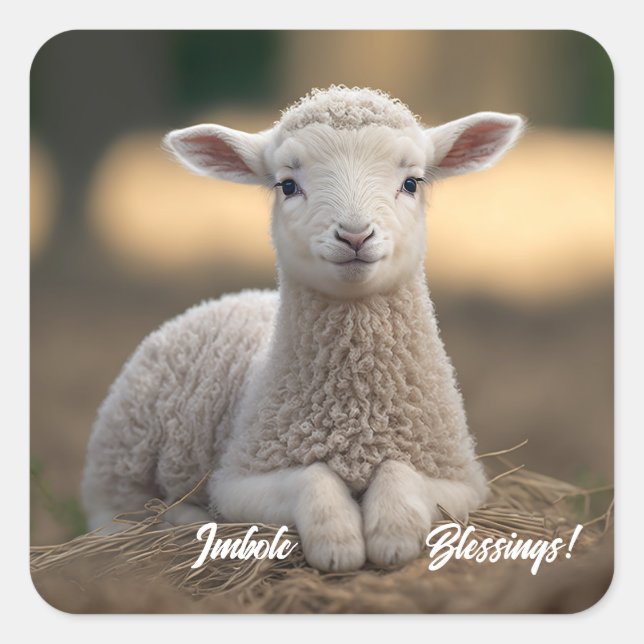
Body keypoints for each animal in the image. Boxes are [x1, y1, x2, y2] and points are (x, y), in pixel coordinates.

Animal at [81, 85, 525, 571]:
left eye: (412, 182)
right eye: (288, 185)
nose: (354, 235)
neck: (356, 418)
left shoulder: (458, 480)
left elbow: (400, 474)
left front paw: (391, 535)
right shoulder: (240, 480)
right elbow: (310, 479)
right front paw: (337, 542)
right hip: (118, 459)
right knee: (114, 516)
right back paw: (182, 517)